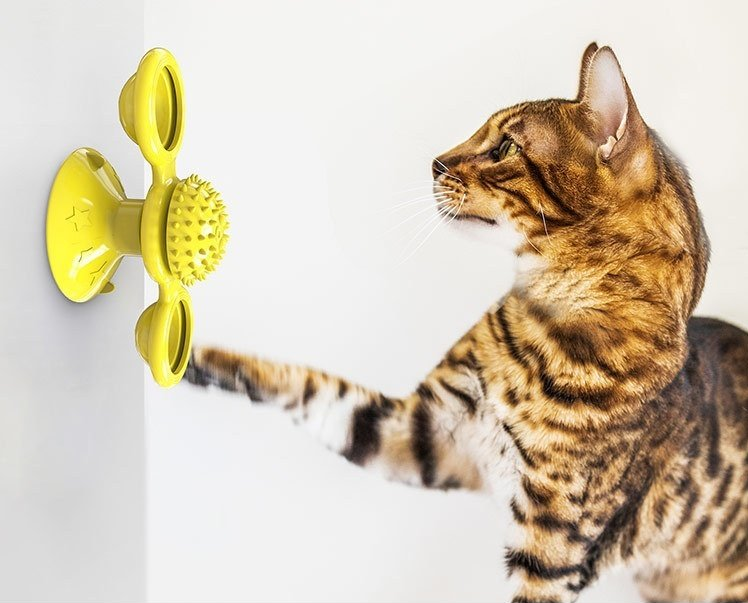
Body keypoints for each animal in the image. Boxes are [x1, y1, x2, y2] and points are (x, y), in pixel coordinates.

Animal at [186, 44, 748, 600]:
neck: (538, 333)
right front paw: (200, 357)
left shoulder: (552, 547)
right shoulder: (425, 431)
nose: (435, 162)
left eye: (505, 148)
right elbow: (312, 387)